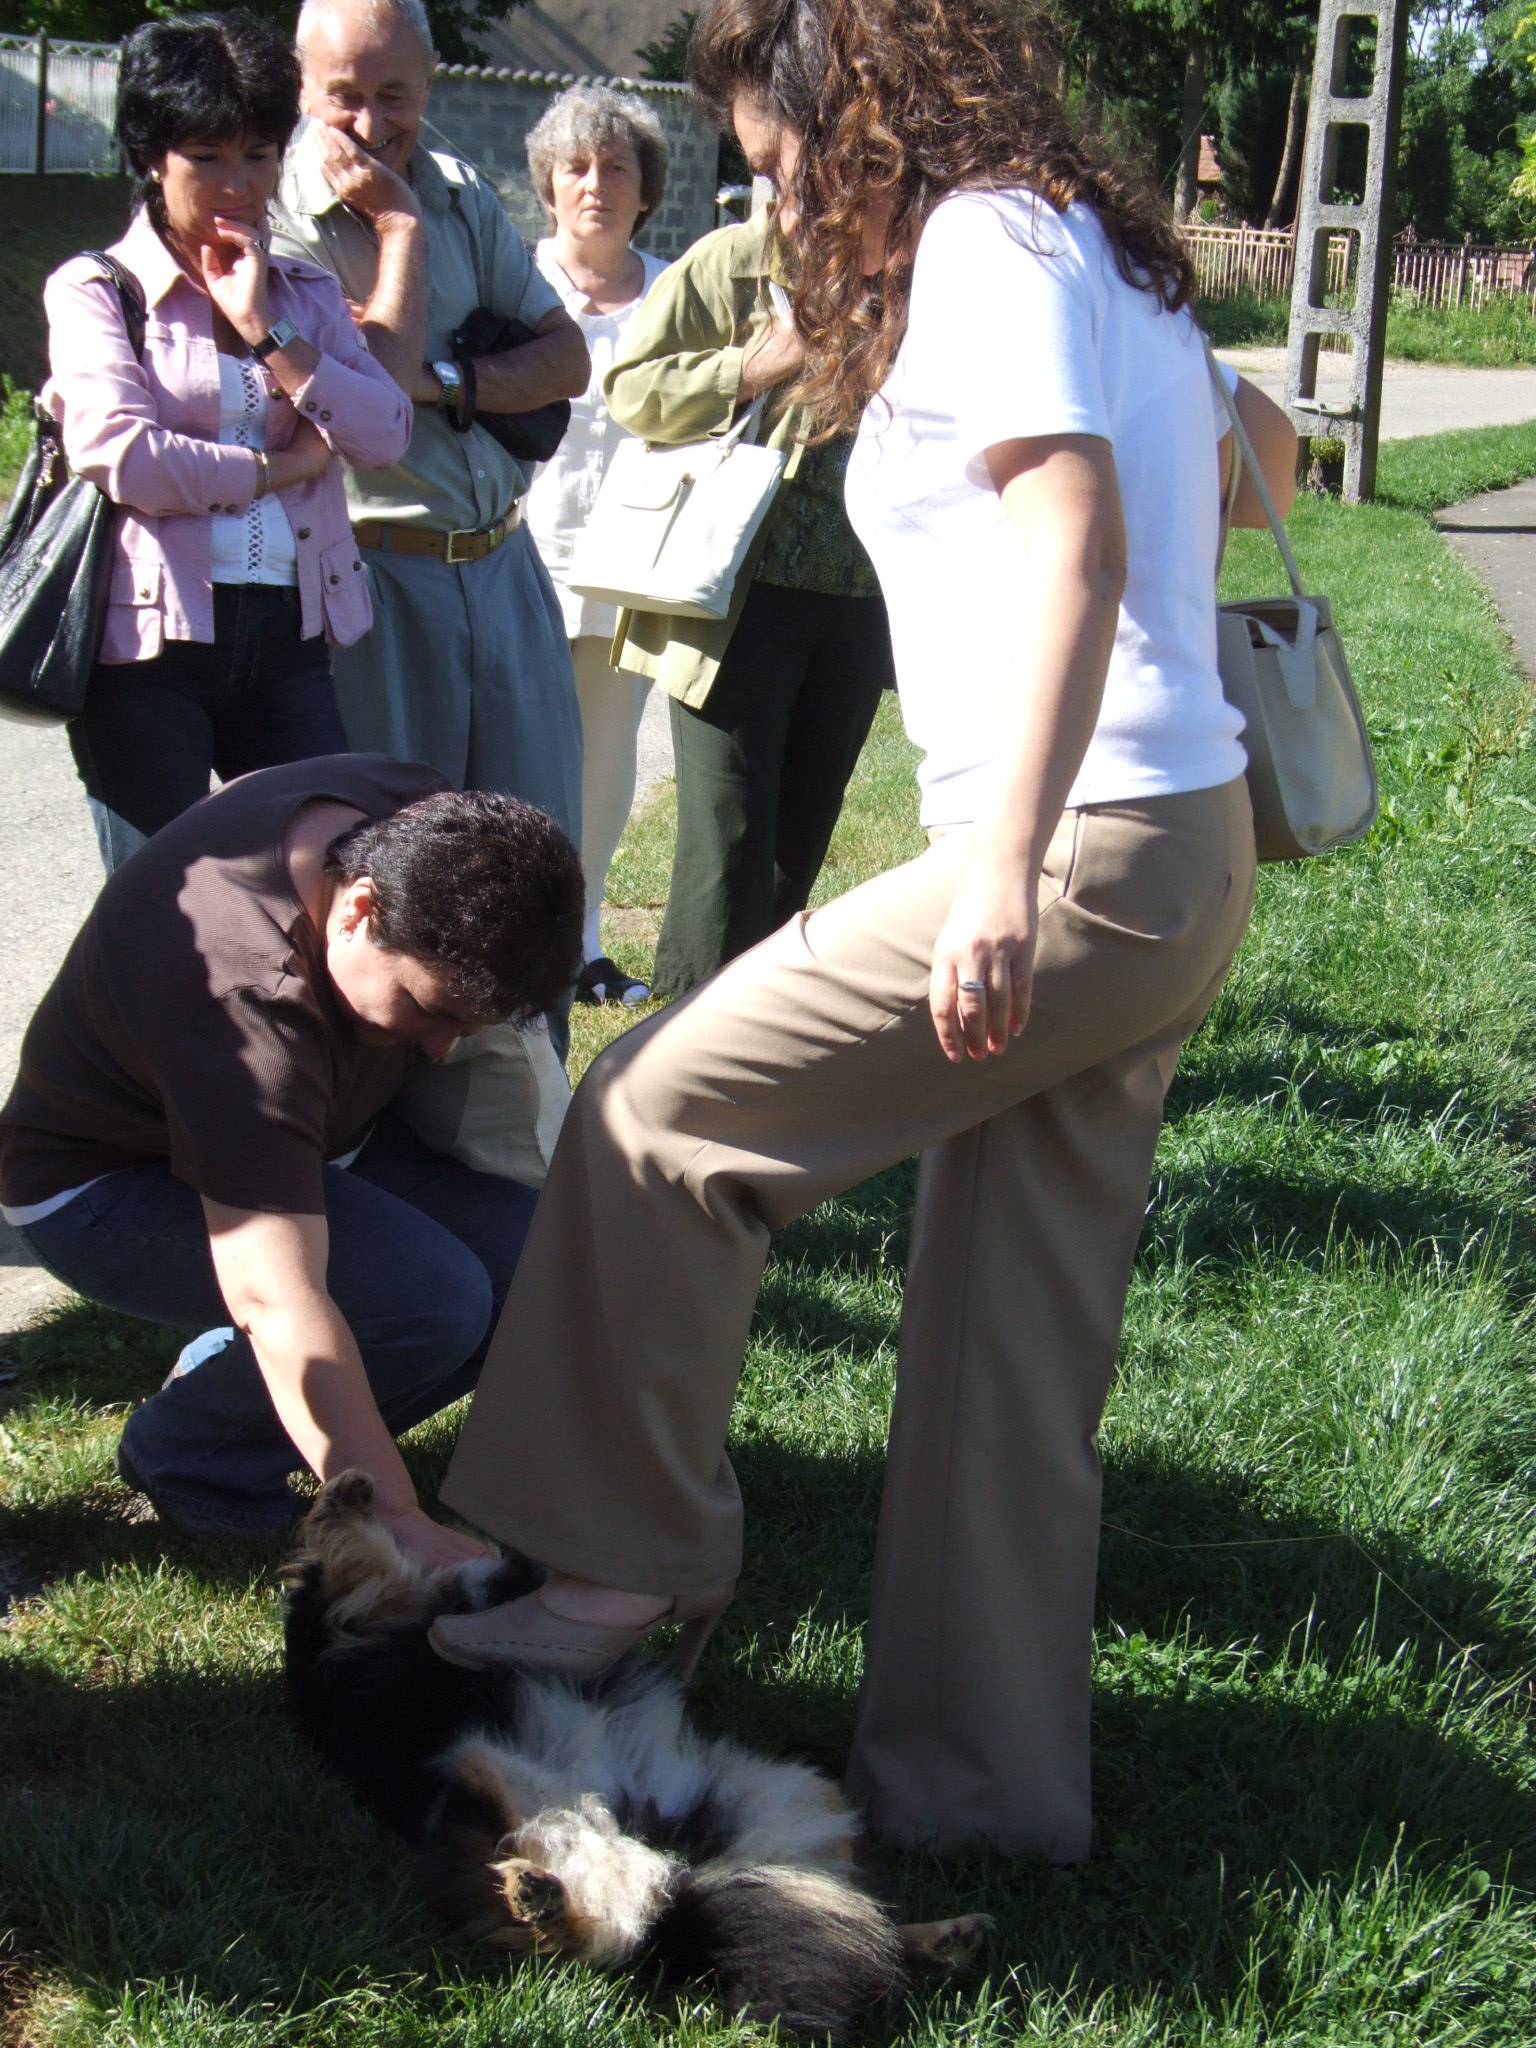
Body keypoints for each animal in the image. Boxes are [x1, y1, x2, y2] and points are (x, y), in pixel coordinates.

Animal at [282, 1472, 991, 2038]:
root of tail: (676, 1869)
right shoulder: (365, 1615)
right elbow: (358, 1563)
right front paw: (346, 1499)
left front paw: (352, 1497)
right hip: (511, 1810)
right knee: (572, 1936)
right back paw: (536, 1894)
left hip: (787, 1806)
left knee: (854, 1920)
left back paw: (944, 1939)